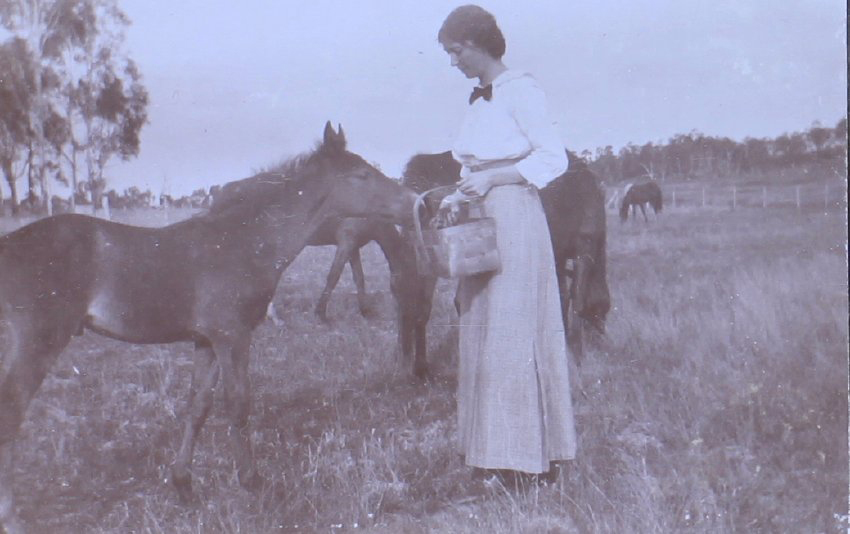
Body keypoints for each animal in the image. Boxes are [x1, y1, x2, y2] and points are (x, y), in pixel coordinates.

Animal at [0, 122, 416, 534]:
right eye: (361, 174)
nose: (415, 203)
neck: (244, 240)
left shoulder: (206, 341)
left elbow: (197, 406)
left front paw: (184, 486)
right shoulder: (233, 336)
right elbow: (238, 403)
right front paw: (253, 482)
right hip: (36, 345)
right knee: (10, 415)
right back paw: (13, 517)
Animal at [398, 151, 610, 378]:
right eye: (603, 308)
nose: (603, 334)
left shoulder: (557, 256)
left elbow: (562, 298)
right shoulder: (584, 246)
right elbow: (576, 301)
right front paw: (576, 356)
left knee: (418, 307)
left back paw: (420, 367)